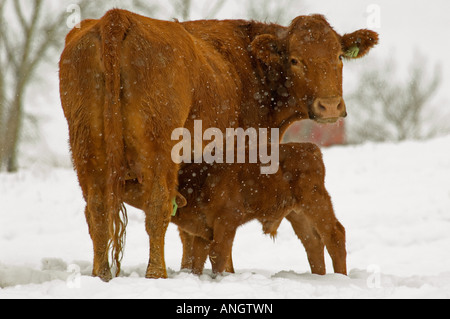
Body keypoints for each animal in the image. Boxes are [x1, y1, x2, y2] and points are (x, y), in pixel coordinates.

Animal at [171, 144, 346, 276]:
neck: (202, 179)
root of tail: (308, 147)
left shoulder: (226, 221)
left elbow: (218, 253)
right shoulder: (204, 230)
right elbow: (197, 258)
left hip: (314, 203)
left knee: (334, 235)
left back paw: (340, 278)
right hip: (297, 214)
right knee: (313, 242)